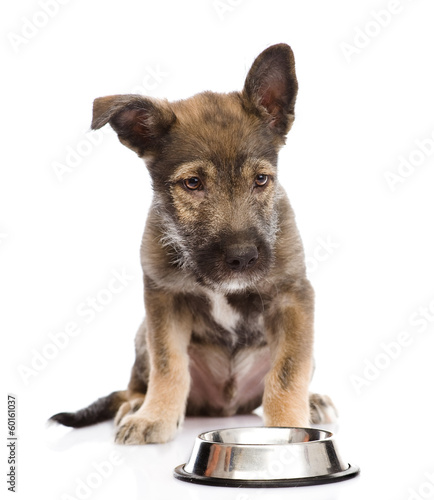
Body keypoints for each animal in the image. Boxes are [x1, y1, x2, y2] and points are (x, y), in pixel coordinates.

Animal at [50, 42, 336, 442]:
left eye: (261, 179)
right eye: (193, 183)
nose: (242, 258)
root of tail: (225, 406)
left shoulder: (292, 298)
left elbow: (286, 371)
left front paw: (289, 427)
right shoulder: (163, 300)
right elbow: (168, 364)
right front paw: (155, 417)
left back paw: (311, 400)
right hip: (142, 334)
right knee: (138, 383)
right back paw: (136, 405)